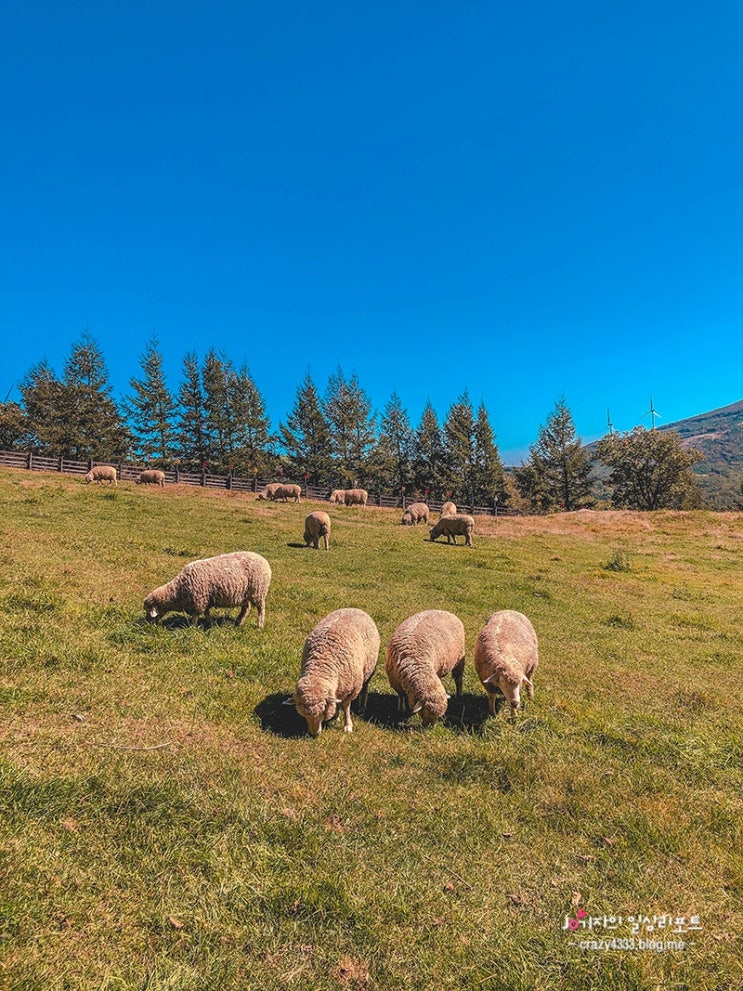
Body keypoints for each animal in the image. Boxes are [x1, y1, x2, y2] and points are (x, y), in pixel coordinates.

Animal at [144, 552, 272, 628]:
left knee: (261, 609)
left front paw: (192, 627)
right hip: (246, 594)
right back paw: (239, 622)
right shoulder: (206, 599)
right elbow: (207, 613)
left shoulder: (199, 600)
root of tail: (264, 560)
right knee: (246, 608)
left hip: (258, 591)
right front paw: (209, 623)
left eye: (149, 610)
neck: (178, 591)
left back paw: (259, 625)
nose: (147, 622)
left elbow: (196, 616)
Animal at [290, 608, 380, 740]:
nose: (314, 734)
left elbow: (346, 706)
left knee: (364, 689)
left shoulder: (352, 689)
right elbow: (336, 702)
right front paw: (336, 716)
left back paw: (362, 707)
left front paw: (347, 725)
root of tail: (355, 608)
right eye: (303, 715)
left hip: (368, 670)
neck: (320, 666)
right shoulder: (338, 688)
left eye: (323, 711)